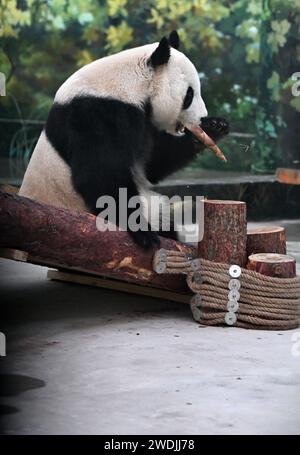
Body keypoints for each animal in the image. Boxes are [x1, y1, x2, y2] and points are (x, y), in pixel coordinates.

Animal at [19, 31, 229, 249]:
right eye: (189, 95)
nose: (201, 117)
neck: (130, 84)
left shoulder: (141, 121)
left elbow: (153, 165)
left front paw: (214, 127)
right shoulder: (94, 115)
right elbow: (101, 176)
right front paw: (143, 232)